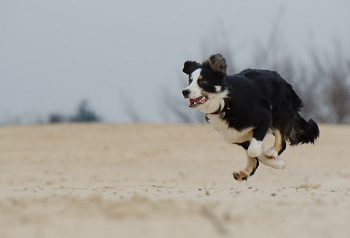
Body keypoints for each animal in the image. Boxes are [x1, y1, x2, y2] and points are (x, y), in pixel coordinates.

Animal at [183, 53, 320, 180]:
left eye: (203, 81)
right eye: (190, 81)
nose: (185, 91)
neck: (225, 103)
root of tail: (281, 78)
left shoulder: (264, 117)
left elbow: (253, 150)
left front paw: (276, 161)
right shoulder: (236, 135)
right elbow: (254, 153)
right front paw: (278, 163)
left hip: (279, 112)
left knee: (281, 140)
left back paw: (272, 152)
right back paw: (243, 173)